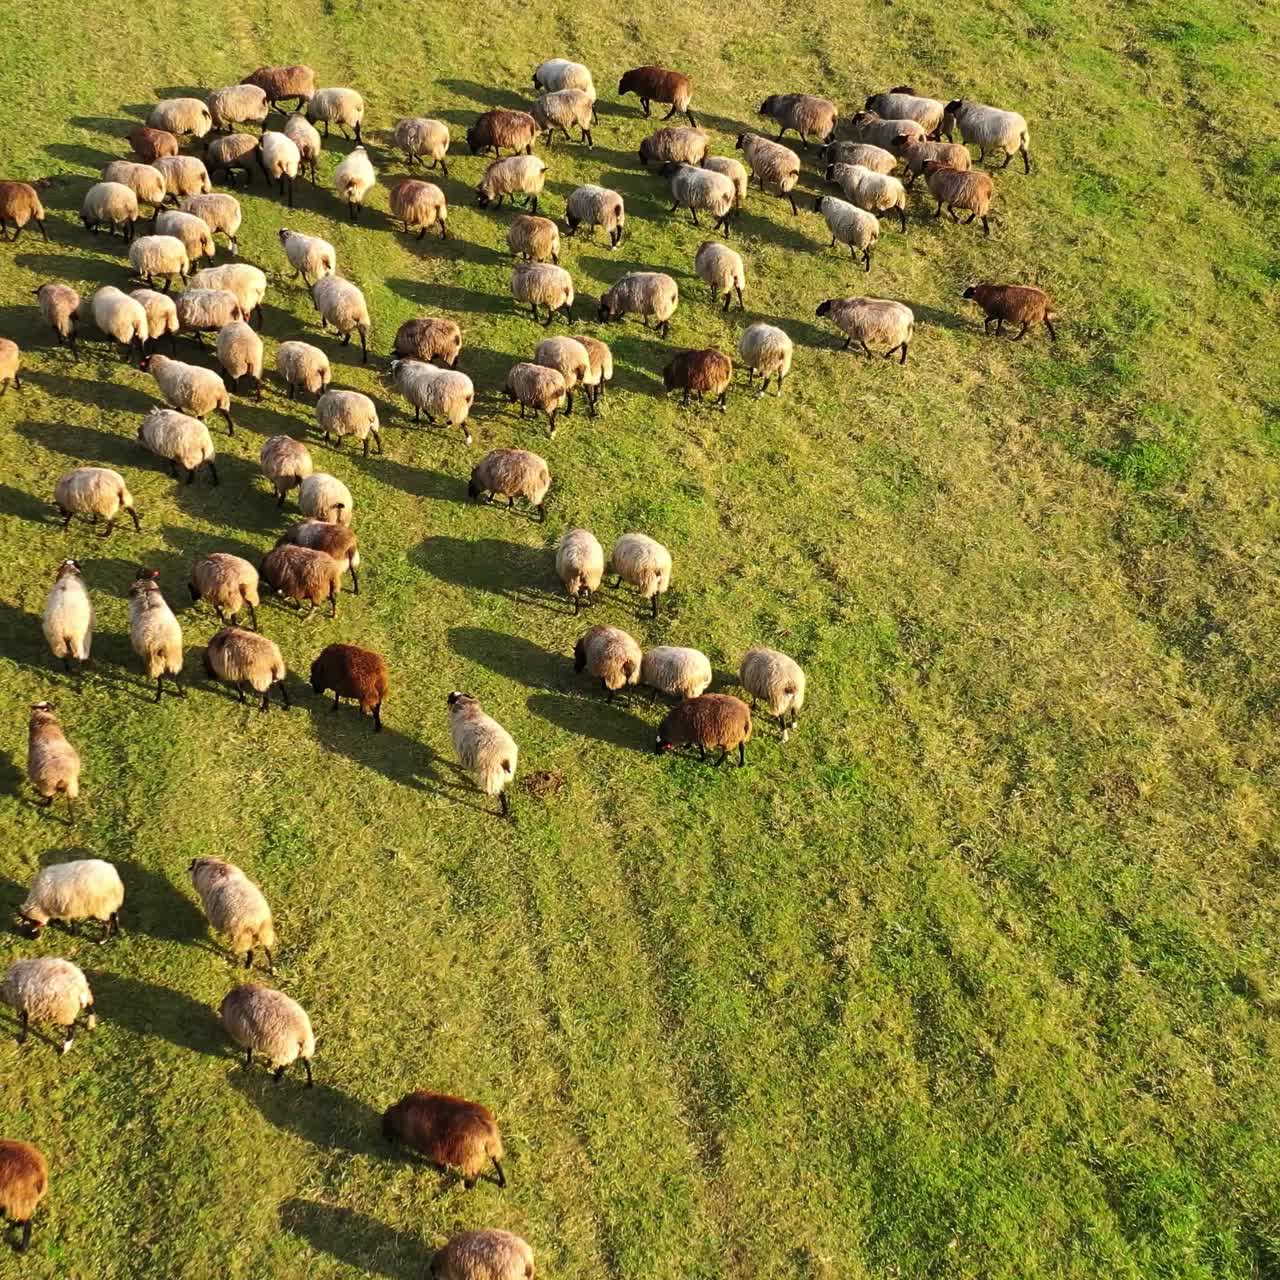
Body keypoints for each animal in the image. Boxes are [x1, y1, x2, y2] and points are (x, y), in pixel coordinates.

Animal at [127, 571, 185, 700]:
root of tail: (162, 644)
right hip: (174, 659)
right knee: (175, 677)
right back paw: (181, 694)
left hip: (155, 661)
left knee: (160, 679)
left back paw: (157, 698)